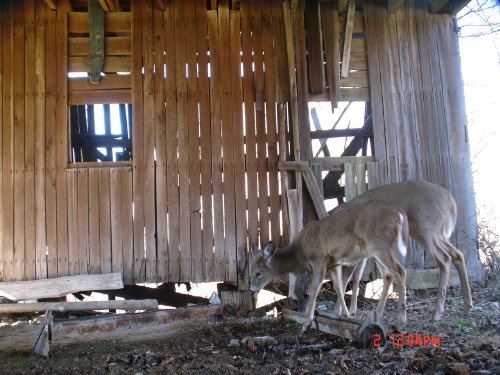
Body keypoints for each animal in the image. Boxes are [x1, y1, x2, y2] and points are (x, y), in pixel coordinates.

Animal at [248, 201, 408, 334]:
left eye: (258, 273)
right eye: (250, 272)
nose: (252, 290)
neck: (301, 251)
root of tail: (400, 215)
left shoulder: (320, 258)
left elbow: (316, 288)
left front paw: (306, 324)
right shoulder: (333, 263)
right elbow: (339, 287)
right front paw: (346, 315)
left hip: (381, 245)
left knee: (400, 271)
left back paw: (399, 324)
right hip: (376, 250)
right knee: (388, 275)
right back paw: (379, 316)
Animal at [292, 181, 472, 322]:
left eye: (306, 293)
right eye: (295, 292)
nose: (301, 310)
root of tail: (450, 201)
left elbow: (346, 279)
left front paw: (340, 312)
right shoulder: (363, 252)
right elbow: (357, 277)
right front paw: (351, 310)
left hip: (424, 229)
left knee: (444, 258)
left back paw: (437, 313)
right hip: (435, 232)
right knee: (457, 254)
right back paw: (466, 307)